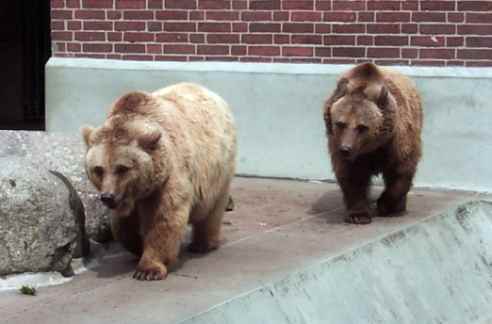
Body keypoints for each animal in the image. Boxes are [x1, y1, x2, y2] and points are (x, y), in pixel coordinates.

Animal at [82, 82, 236, 280]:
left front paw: (148, 269)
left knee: (211, 209)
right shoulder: (128, 196)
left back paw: (203, 244)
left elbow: (163, 218)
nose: (107, 197)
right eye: (98, 169)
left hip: (218, 168)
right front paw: (137, 246)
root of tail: (208, 90)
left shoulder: (169, 178)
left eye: (122, 168)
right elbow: (122, 225)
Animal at [322, 62, 422, 224]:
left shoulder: (397, 141)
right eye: (340, 123)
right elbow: (352, 175)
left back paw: (399, 207)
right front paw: (358, 215)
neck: (371, 147)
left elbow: (401, 171)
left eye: (362, 127)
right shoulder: (339, 145)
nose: (346, 148)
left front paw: (385, 205)